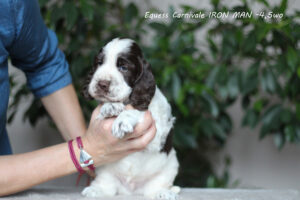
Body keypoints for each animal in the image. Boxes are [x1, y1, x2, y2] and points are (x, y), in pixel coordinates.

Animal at [82, 38, 179, 200]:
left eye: (123, 67)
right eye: (99, 63)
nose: (102, 84)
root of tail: (131, 191)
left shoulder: (157, 133)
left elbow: (137, 111)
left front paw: (122, 120)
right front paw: (111, 106)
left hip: (170, 166)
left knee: (156, 187)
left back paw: (163, 193)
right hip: (104, 170)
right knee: (107, 186)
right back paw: (95, 190)